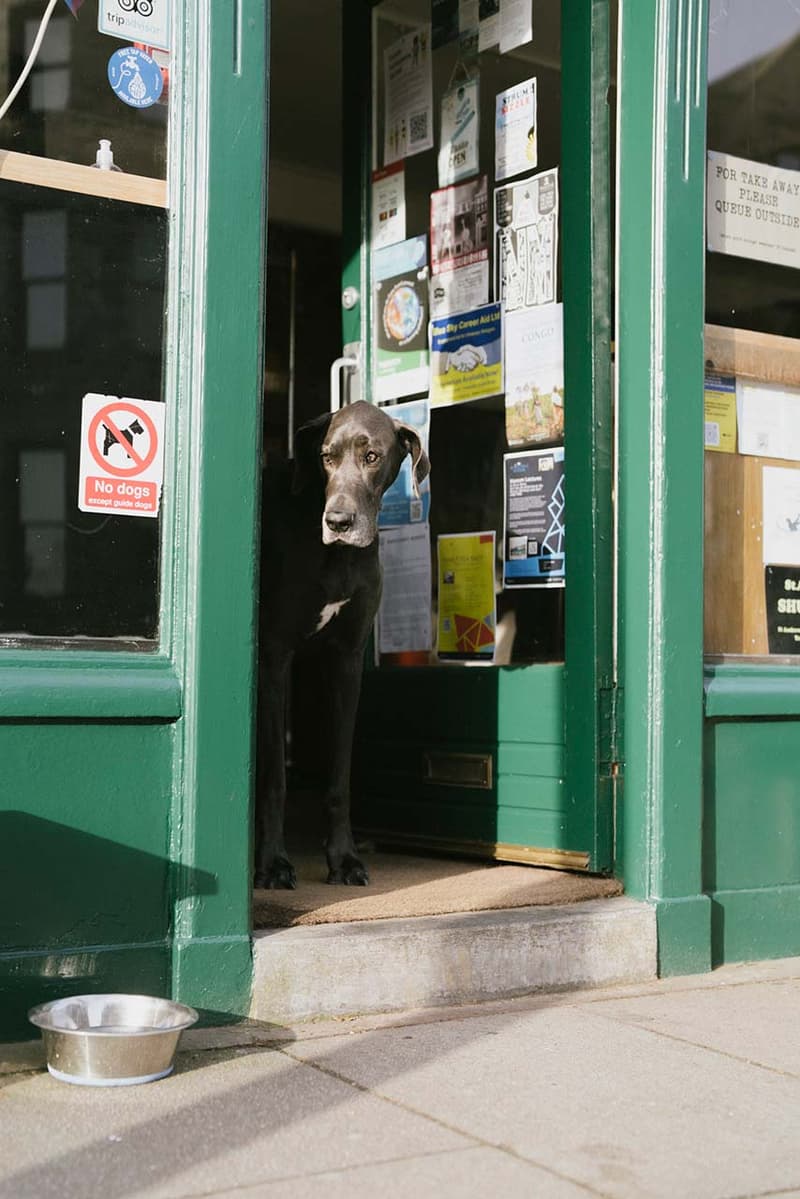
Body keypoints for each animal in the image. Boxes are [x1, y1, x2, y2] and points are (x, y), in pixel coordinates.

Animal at [256, 402, 431, 892]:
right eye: (326, 457)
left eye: (372, 456)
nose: (338, 522)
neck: (336, 555)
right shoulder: (274, 656)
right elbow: (274, 776)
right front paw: (272, 863)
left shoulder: (347, 659)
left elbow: (339, 773)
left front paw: (343, 858)